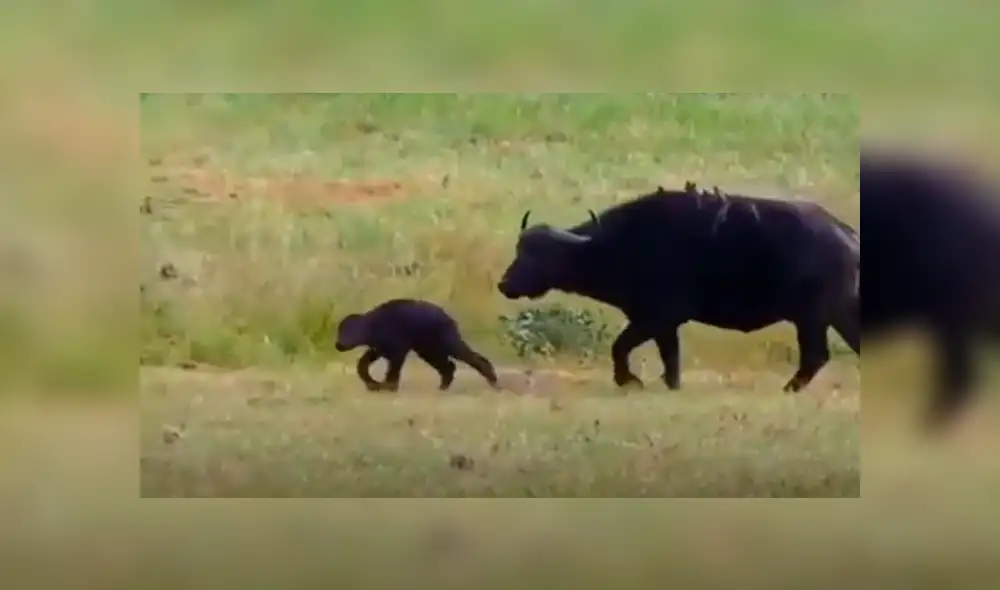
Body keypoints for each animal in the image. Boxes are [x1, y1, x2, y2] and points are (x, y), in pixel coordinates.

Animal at [335, 298, 500, 391]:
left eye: (348, 331)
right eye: (339, 331)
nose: (338, 344)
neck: (373, 326)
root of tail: (448, 317)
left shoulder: (397, 351)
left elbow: (393, 370)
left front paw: (387, 386)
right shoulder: (378, 350)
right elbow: (362, 365)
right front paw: (373, 384)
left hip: (447, 344)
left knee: (474, 358)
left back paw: (492, 380)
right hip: (428, 350)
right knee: (449, 366)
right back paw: (443, 386)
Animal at [497, 182, 860, 394]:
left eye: (542, 255)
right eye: (520, 250)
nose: (504, 284)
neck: (620, 245)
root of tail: (846, 234)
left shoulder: (656, 317)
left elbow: (620, 347)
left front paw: (628, 380)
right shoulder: (661, 323)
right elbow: (669, 357)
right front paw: (668, 385)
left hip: (812, 317)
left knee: (815, 355)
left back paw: (789, 388)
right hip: (837, 314)